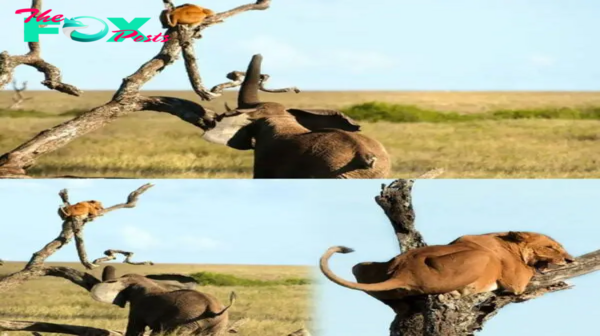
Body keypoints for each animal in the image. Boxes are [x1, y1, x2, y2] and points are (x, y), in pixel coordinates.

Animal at [90, 266, 236, 334]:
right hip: (218, 323)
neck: (146, 281)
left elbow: (135, 328)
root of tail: (210, 307)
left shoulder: (138, 306)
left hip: (186, 319)